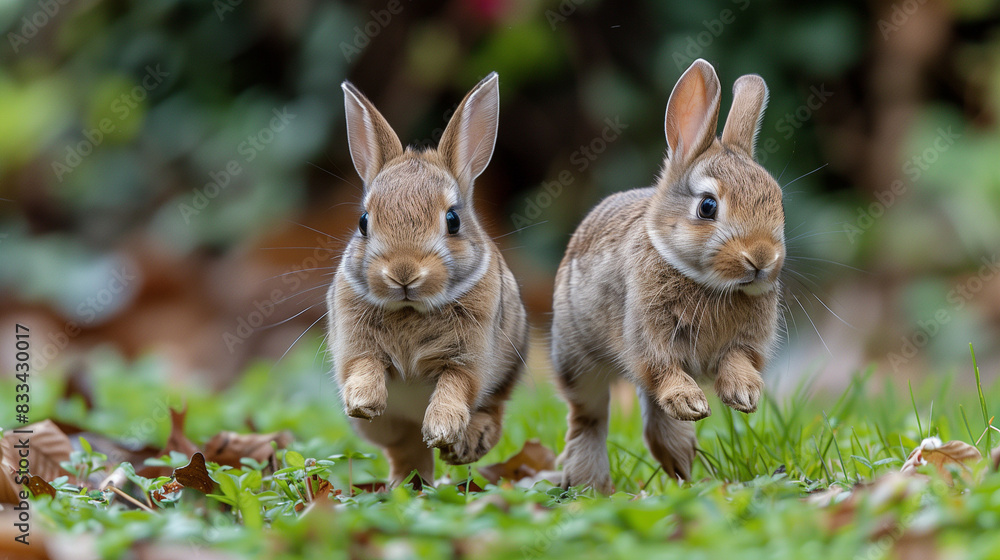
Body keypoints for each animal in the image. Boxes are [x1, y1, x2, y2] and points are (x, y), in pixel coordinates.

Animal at [326, 72, 529, 486]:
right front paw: (364, 401)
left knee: (492, 415)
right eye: (363, 222)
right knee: (403, 449)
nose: (402, 272)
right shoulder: (356, 344)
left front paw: (441, 428)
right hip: (388, 430)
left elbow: (456, 384)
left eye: (452, 220)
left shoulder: (469, 357)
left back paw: (462, 446)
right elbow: (364, 364)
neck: (411, 308)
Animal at [550, 59, 784, 493]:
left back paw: (682, 468)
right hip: (576, 360)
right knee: (590, 416)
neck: (710, 284)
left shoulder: (744, 343)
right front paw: (692, 401)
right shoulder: (648, 337)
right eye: (708, 207)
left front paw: (744, 395)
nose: (762, 257)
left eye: (778, 200)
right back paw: (591, 484)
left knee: (657, 418)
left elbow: (738, 360)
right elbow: (662, 369)